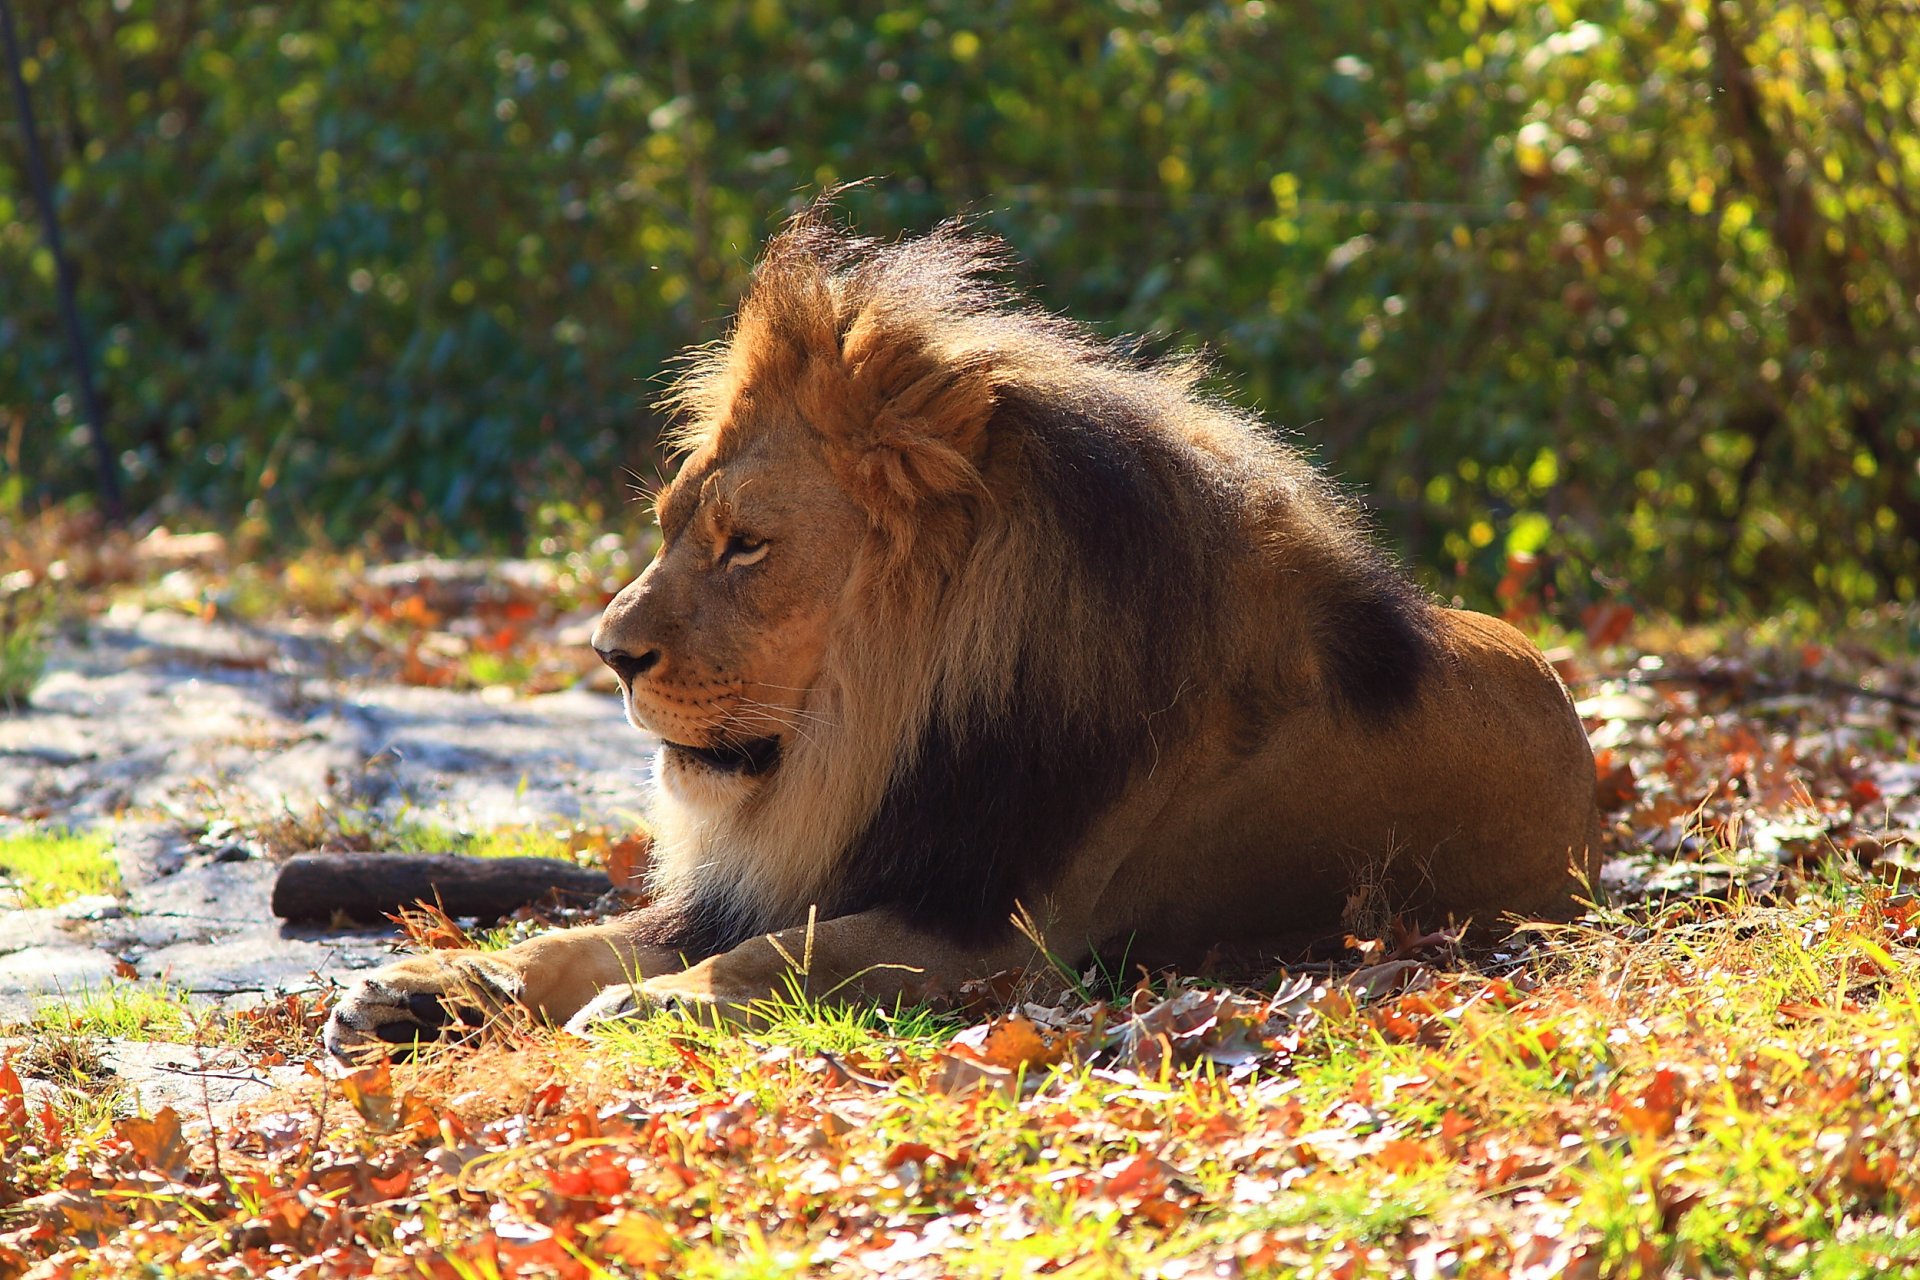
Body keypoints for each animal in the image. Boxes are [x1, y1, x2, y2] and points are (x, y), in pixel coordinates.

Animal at [322, 213, 1597, 1059]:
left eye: (746, 544)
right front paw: (433, 981)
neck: (872, 730)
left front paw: (655, 1002)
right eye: (673, 527)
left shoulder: (1007, 940)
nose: (608, 652)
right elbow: (587, 935)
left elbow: (797, 950)